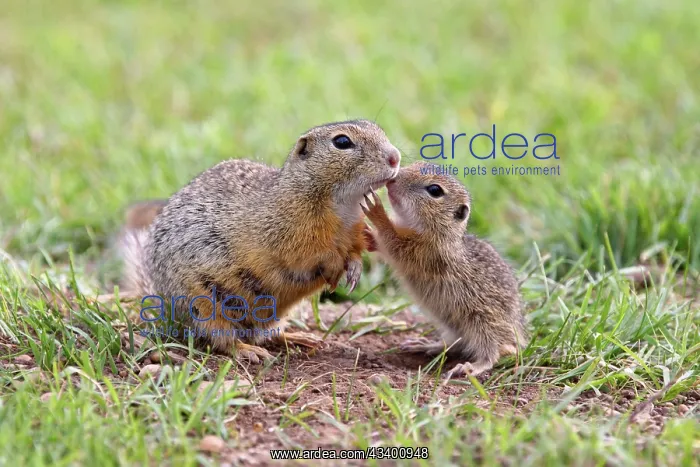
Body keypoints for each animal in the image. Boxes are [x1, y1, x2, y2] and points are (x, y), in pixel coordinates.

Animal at [121, 119, 401, 363]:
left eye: (379, 129)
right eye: (342, 142)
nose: (395, 157)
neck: (343, 206)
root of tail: (166, 308)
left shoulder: (354, 232)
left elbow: (353, 250)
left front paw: (354, 269)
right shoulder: (288, 232)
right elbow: (310, 254)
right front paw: (334, 268)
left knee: (265, 334)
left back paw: (297, 338)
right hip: (203, 306)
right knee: (222, 340)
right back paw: (248, 350)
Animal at [361, 161, 527, 378]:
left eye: (435, 190)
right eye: (417, 164)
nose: (392, 179)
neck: (442, 234)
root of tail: (518, 335)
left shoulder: (426, 252)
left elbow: (393, 241)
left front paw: (376, 211)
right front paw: (368, 236)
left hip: (484, 323)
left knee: (493, 352)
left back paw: (471, 366)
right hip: (453, 326)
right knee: (457, 343)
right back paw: (428, 345)